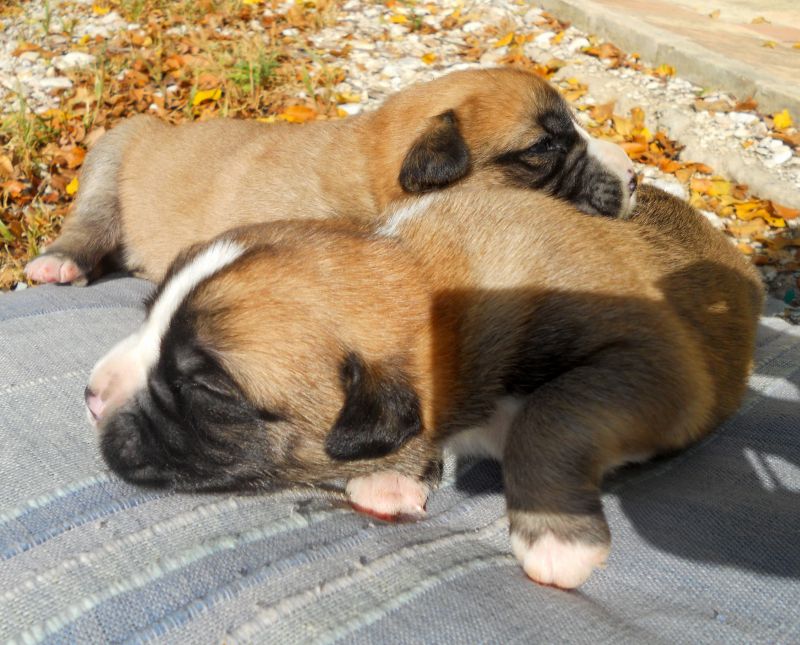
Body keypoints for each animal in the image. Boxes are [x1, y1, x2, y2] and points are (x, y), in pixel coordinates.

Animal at [86, 184, 764, 588]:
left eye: (207, 388)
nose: (91, 396)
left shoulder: (656, 361)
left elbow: (554, 413)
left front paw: (556, 537)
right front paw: (395, 473)